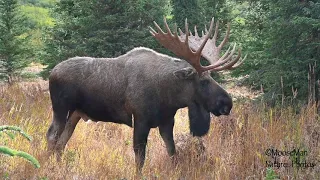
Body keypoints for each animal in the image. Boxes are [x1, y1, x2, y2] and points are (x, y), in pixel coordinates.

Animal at [45, 17, 245, 173]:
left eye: (211, 77)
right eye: (203, 81)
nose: (227, 103)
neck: (169, 96)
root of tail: (52, 73)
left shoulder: (167, 121)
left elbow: (172, 152)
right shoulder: (140, 119)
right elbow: (140, 157)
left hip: (76, 114)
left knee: (62, 142)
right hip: (61, 108)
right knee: (52, 136)